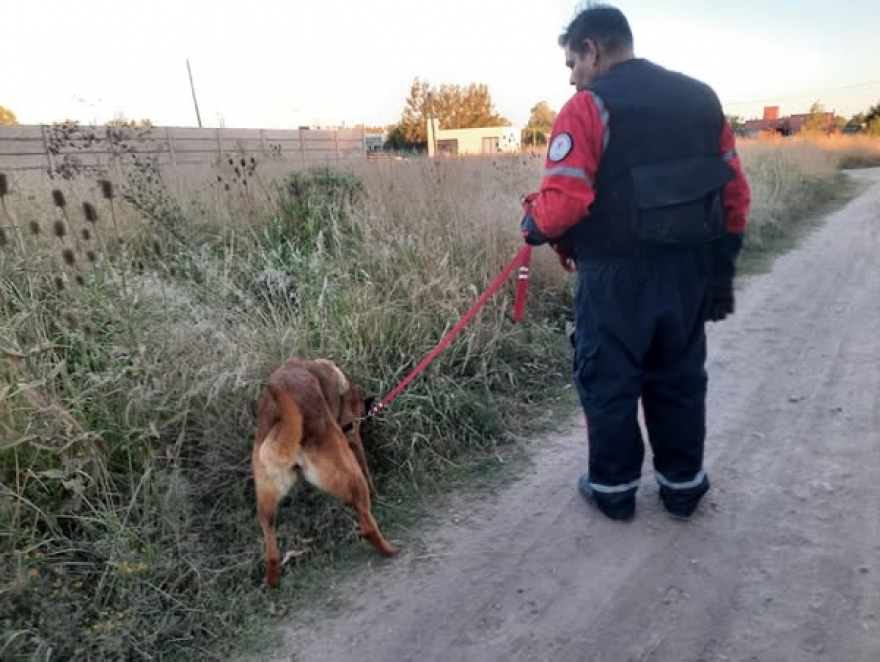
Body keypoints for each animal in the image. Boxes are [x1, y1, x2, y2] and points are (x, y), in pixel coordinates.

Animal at [251, 360, 396, 588]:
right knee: (367, 526)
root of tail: (281, 417)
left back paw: (272, 580)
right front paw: (379, 496)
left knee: (270, 545)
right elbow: (368, 473)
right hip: (350, 472)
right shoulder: (352, 437)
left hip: (266, 497)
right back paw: (389, 550)